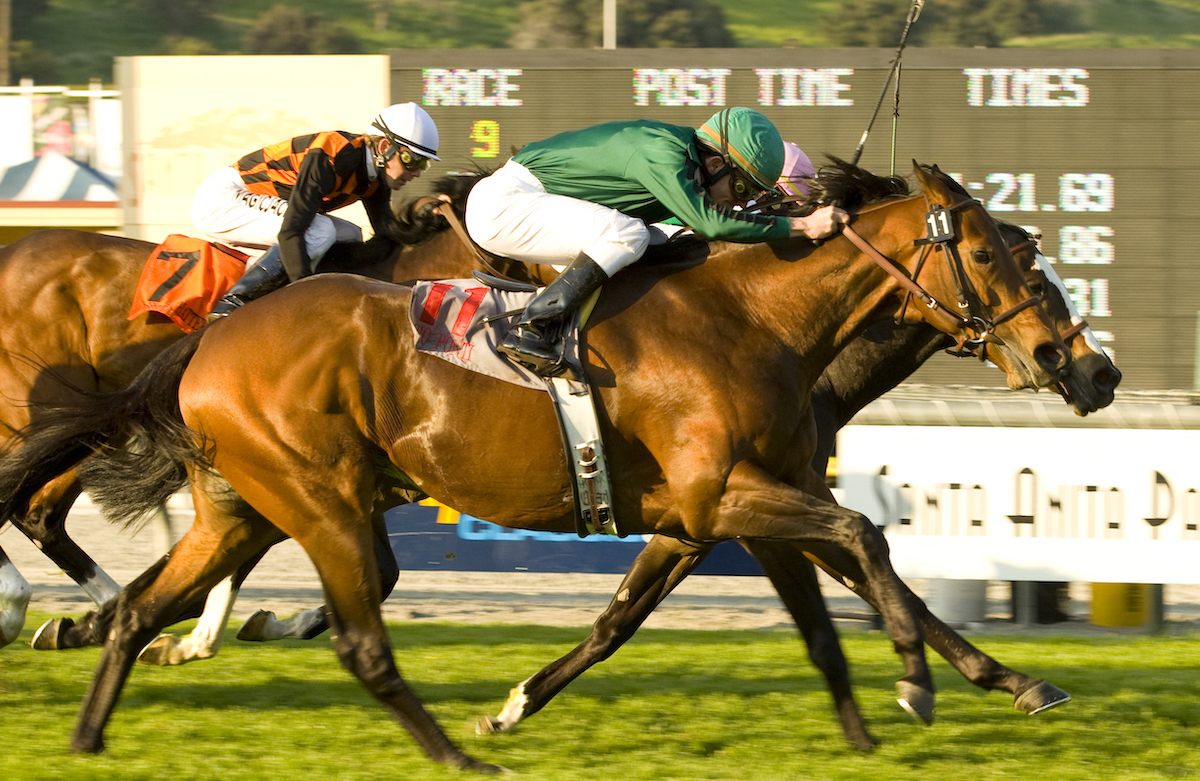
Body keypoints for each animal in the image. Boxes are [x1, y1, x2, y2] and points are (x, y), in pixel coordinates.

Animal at [0, 160, 1070, 767]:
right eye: (992, 252)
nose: (1078, 364)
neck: (751, 317)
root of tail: (213, 340)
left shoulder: (716, 509)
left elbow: (759, 610)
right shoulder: (726, 496)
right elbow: (866, 538)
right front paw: (920, 682)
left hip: (247, 502)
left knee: (140, 597)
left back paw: (93, 708)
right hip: (312, 494)